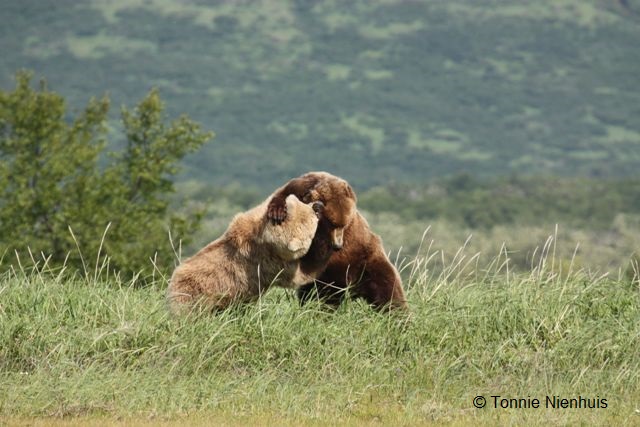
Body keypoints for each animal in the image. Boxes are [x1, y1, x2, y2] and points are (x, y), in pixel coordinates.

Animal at [166, 196, 322, 312]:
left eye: (306, 203)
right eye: (312, 216)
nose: (318, 205)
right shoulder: (272, 264)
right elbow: (303, 274)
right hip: (194, 294)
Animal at [268, 171, 408, 310]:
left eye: (344, 224)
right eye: (332, 224)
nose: (338, 245)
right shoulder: (297, 189)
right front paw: (277, 213)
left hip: (368, 262)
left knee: (388, 290)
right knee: (318, 294)